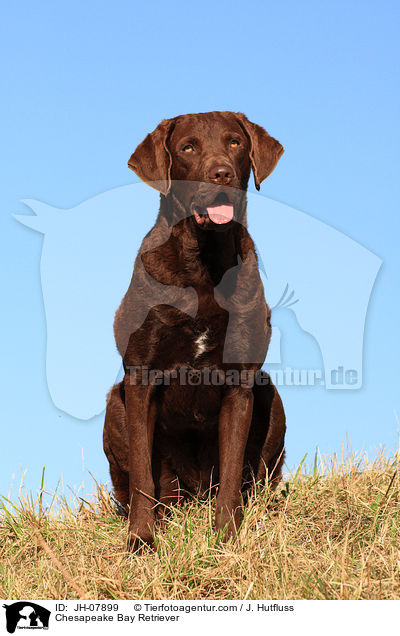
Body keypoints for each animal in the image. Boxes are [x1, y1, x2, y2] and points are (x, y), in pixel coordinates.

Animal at [101, 112, 286, 548]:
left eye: (235, 142)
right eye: (188, 147)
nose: (221, 174)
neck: (205, 265)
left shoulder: (240, 382)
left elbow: (232, 473)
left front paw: (226, 538)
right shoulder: (140, 377)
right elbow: (143, 476)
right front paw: (141, 540)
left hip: (270, 395)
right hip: (114, 403)